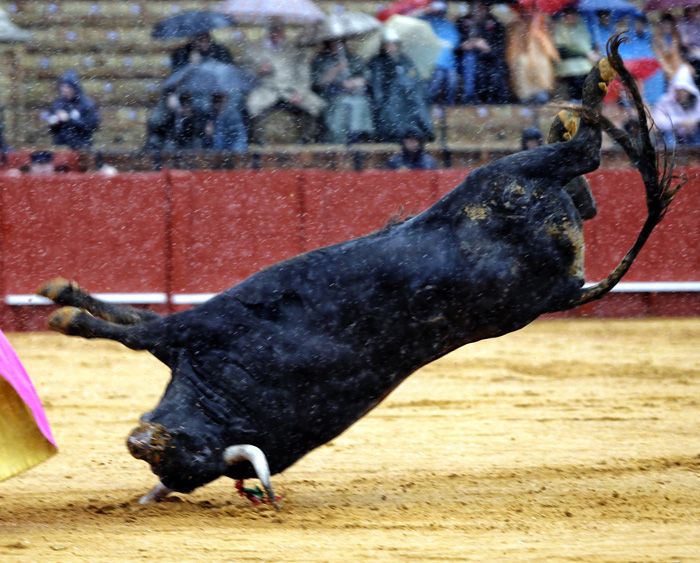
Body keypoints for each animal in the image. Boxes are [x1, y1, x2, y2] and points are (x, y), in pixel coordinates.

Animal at [37, 37, 680, 508]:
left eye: (180, 456)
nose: (139, 440)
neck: (227, 396)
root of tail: (569, 288)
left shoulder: (203, 325)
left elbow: (133, 327)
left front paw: (64, 307)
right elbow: (131, 313)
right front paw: (61, 293)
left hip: (503, 178)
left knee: (585, 153)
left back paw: (592, 88)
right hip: (548, 203)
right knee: (586, 188)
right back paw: (573, 111)